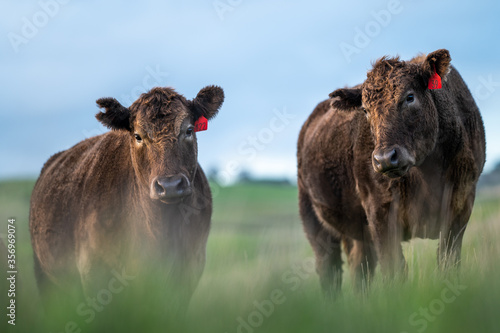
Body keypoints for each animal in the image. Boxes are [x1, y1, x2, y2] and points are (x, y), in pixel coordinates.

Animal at [29, 85, 225, 308]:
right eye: (138, 136)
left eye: (189, 130)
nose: (170, 185)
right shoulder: (94, 275)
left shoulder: (188, 273)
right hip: (44, 274)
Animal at [296, 48, 484, 294]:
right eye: (365, 110)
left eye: (409, 97)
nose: (384, 159)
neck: (427, 175)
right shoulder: (379, 211)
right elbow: (394, 270)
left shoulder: (461, 205)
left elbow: (448, 263)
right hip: (313, 219)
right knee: (330, 271)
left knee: (360, 268)